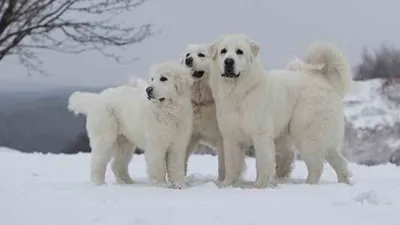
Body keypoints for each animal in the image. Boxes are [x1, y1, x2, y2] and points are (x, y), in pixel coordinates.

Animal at [180, 43, 296, 181]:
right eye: (187, 55)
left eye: (201, 55)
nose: (188, 60)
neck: (203, 101)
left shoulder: (223, 139)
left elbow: (224, 165)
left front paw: (222, 181)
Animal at [209, 33, 354, 188]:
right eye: (223, 51)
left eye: (239, 52)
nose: (229, 61)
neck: (239, 93)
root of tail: (324, 79)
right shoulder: (231, 137)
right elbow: (231, 164)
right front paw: (226, 184)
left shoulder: (261, 135)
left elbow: (263, 163)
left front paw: (258, 186)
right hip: (325, 138)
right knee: (340, 162)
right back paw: (344, 183)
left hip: (306, 135)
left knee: (317, 166)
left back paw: (308, 185)